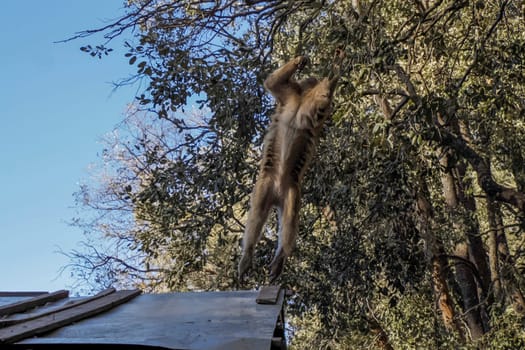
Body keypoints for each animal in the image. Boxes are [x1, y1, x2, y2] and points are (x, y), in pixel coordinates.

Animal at [237, 55, 340, 282]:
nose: (313, 80)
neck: (303, 98)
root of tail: (277, 193)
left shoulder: (311, 102)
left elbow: (321, 107)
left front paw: (331, 78)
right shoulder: (290, 94)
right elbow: (273, 83)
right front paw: (300, 61)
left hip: (291, 190)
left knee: (290, 219)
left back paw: (281, 255)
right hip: (265, 184)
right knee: (257, 212)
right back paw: (248, 253)